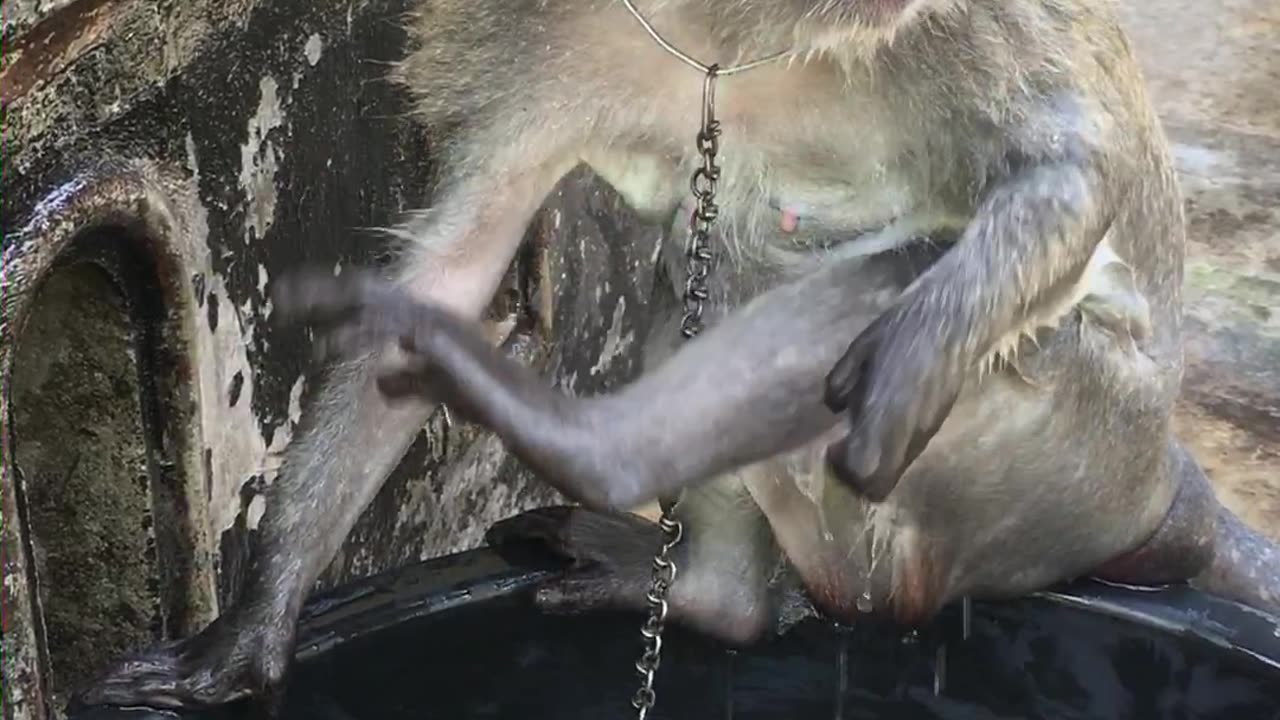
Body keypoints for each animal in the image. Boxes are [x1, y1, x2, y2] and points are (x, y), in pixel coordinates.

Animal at [74, 0, 1280, 707]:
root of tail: (1154, 484)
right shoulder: (537, 44)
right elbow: (450, 276)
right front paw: (251, 632)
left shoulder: (959, 19)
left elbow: (1071, 167)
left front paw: (914, 349)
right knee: (707, 266)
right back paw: (712, 596)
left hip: (1061, 451)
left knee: (825, 269)